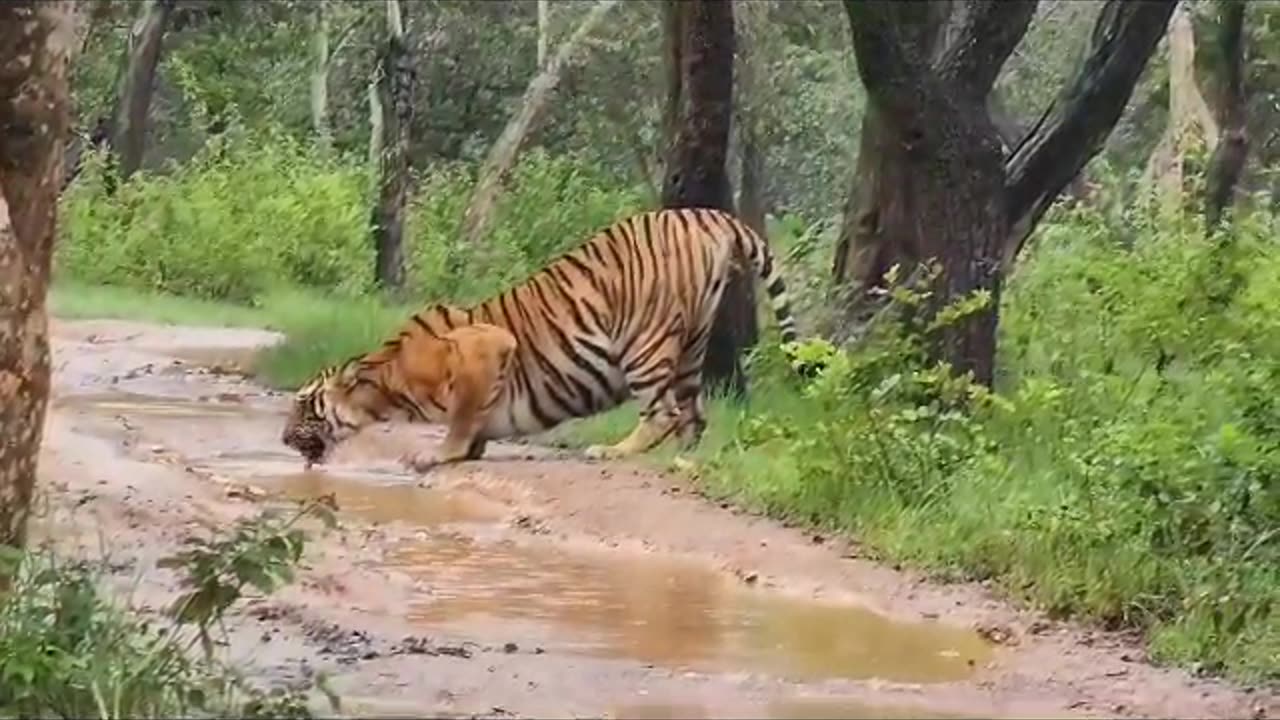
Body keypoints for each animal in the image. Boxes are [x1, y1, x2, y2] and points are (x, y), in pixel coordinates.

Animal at [284, 204, 803, 474]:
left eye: (305, 404)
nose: (285, 438)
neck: (386, 383)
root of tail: (704, 214)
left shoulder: (484, 347)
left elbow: (461, 418)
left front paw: (437, 455)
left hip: (646, 342)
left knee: (664, 412)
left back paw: (613, 451)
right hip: (692, 342)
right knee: (693, 415)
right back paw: (683, 462)